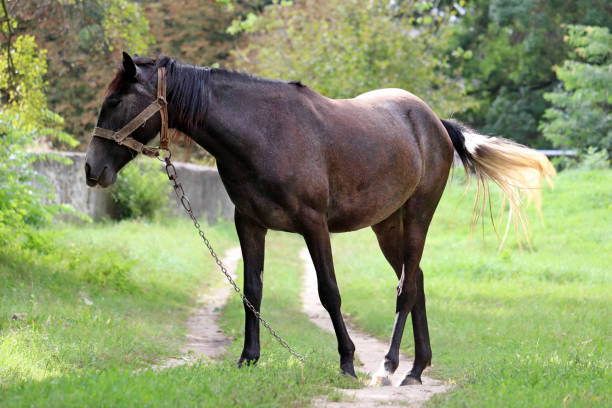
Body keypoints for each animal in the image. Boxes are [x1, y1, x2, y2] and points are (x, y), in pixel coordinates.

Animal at [83, 51, 556, 386]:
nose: (91, 169)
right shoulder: (249, 224)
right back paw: (416, 368)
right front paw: (248, 359)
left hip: (418, 217)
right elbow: (251, 291)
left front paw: (347, 361)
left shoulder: (313, 225)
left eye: (115, 101)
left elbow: (330, 292)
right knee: (416, 282)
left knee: (405, 288)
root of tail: (433, 123)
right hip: (388, 225)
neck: (264, 132)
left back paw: (388, 365)